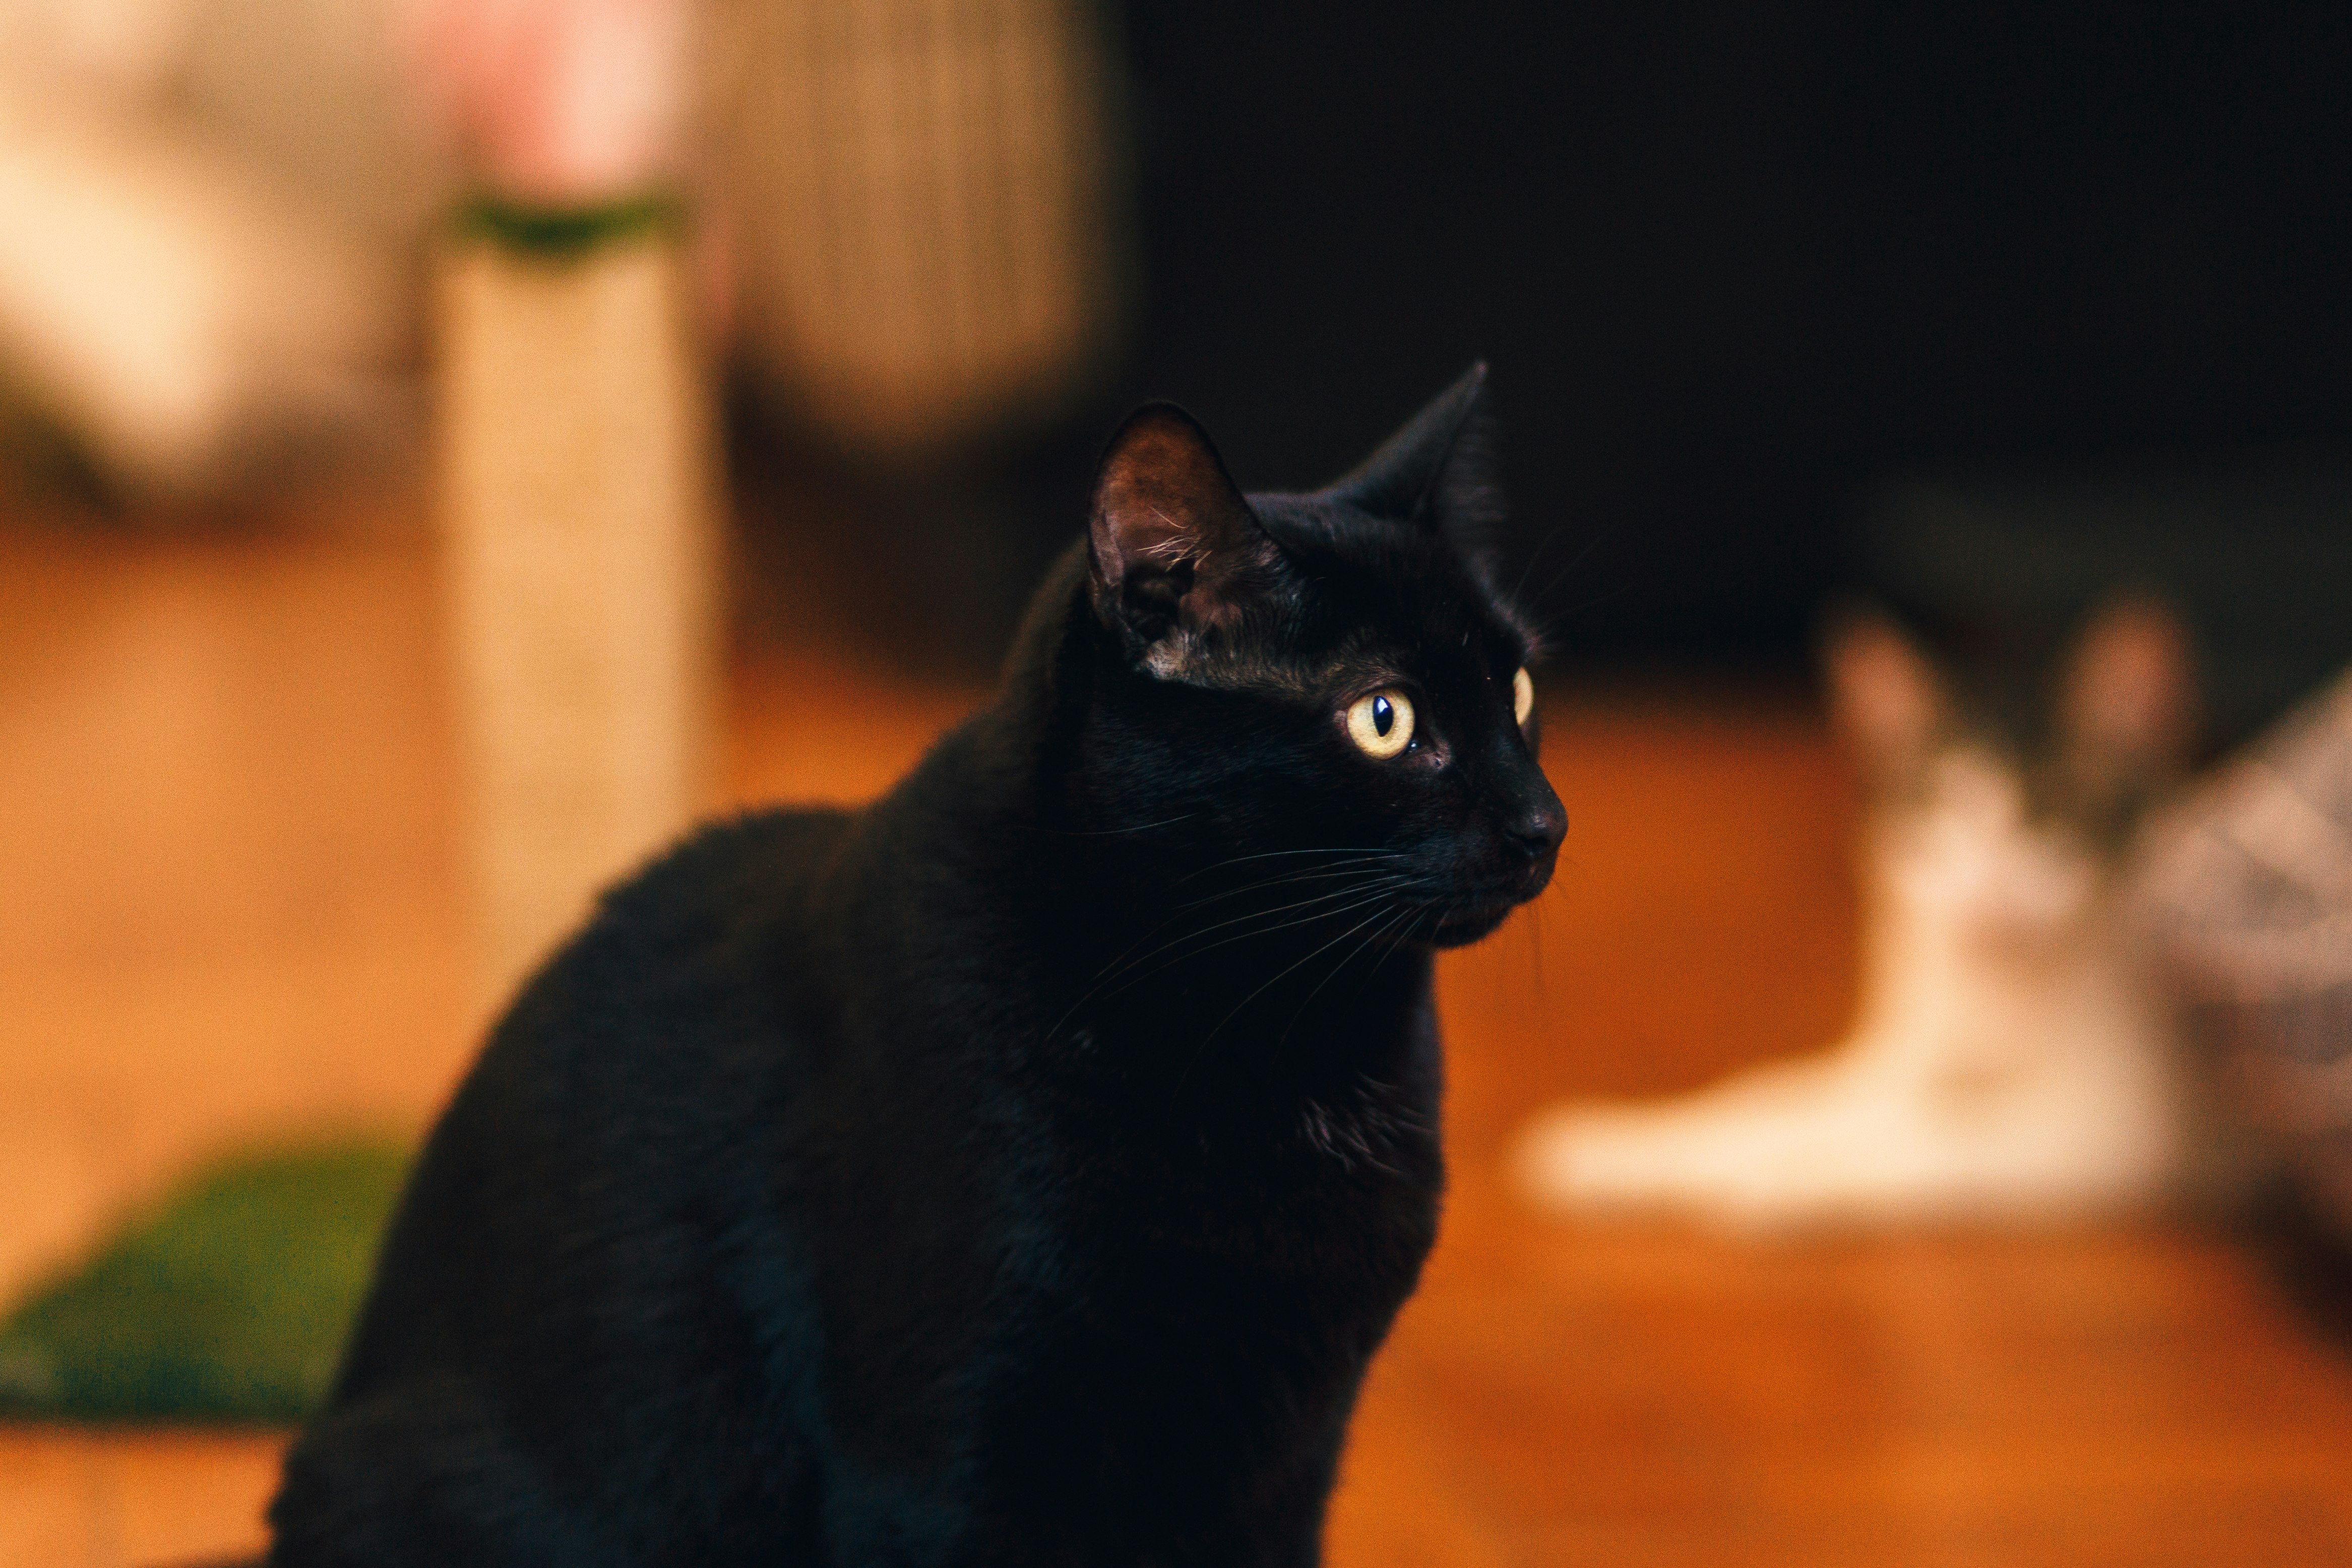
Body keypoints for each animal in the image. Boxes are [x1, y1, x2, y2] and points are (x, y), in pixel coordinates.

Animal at [270, 362, 1562, 1561]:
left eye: (1519, 687)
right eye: (1384, 718)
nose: (1543, 822)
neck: (1281, 1030)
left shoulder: (1284, 1458)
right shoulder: (945, 1455)